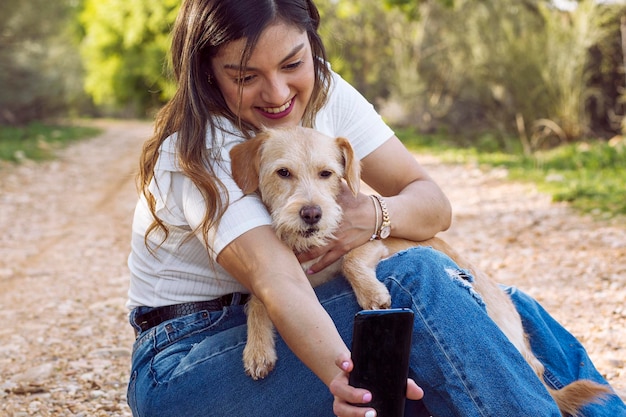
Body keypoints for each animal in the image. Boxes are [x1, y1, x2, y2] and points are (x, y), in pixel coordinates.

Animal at [227, 125, 608, 414]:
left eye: (326, 174)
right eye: (283, 173)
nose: (311, 213)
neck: (306, 249)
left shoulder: (369, 242)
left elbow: (351, 260)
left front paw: (372, 294)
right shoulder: (291, 278)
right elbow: (258, 299)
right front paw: (257, 350)